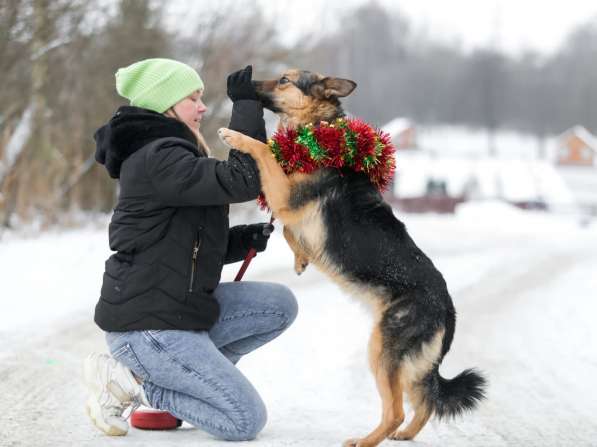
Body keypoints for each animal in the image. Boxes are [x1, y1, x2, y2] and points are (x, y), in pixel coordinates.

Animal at [219, 70, 484, 447]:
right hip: (409, 364)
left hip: (382, 351)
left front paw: (237, 136)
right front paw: (301, 258)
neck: (319, 130)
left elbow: (265, 152)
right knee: (425, 402)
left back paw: (366, 440)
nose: (245, 82)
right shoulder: (289, 206)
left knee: (396, 409)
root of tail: (446, 306)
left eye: (284, 80)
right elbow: (287, 232)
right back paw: (404, 434)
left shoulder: (286, 197)